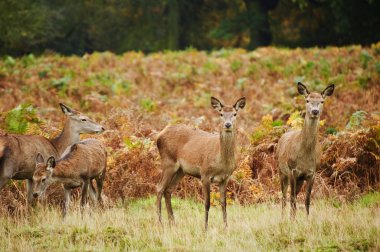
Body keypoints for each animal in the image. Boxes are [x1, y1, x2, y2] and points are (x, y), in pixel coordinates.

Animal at [155, 96, 246, 228]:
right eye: (221, 114)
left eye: (235, 114)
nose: (228, 124)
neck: (221, 162)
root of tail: (159, 135)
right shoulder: (205, 174)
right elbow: (207, 203)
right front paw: (205, 227)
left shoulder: (225, 178)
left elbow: (223, 203)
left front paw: (226, 227)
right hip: (168, 161)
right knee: (159, 188)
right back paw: (160, 222)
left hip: (181, 170)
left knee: (168, 190)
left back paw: (173, 222)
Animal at [276, 82, 336, 217]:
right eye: (307, 100)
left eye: (322, 101)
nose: (315, 111)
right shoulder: (292, 170)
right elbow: (292, 198)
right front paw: (292, 220)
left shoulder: (312, 173)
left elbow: (307, 200)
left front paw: (307, 219)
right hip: (282, 172)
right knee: (284, 197)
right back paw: (282, 217)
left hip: (299, 179)